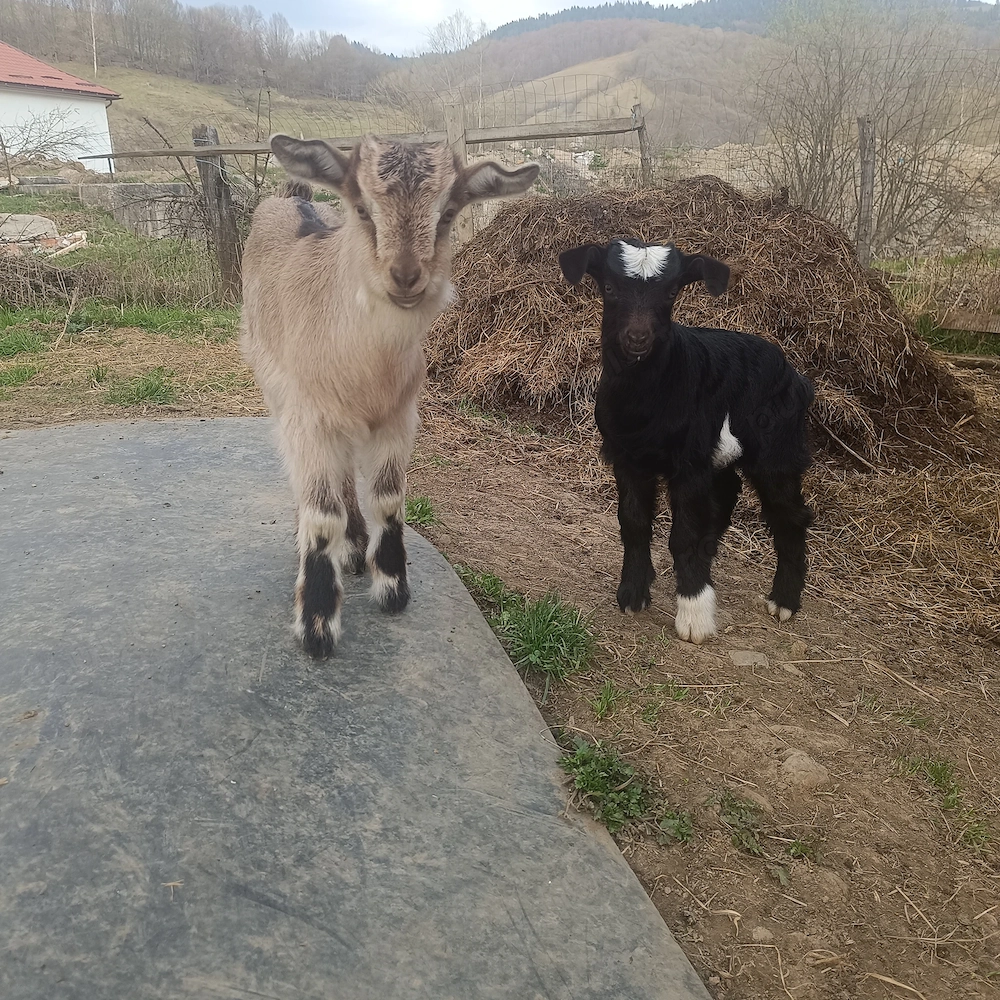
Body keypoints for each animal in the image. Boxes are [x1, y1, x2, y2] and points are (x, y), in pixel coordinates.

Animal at [242, 134, 538, 657]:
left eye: (448, 213)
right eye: (363, 209)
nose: (405, 276)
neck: (366, 366)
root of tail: (294, 196)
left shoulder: (399, 417)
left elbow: (388, 498)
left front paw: (393, 588)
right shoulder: (308, 416)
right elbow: (322, 515)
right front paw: (317, 625)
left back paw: (358, 545)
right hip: (275, 388)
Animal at [558, 238, 814, 644]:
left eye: (671, 292)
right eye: (609, 288)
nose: (637, 338)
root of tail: (795, 374)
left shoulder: (688, 463)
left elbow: (684, 534)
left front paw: (694, 613)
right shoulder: (627, 456)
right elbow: (633, 522)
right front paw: (633, 592)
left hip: (777, 450)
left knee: (788, 513)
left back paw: (784, 600)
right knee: (727, 493)